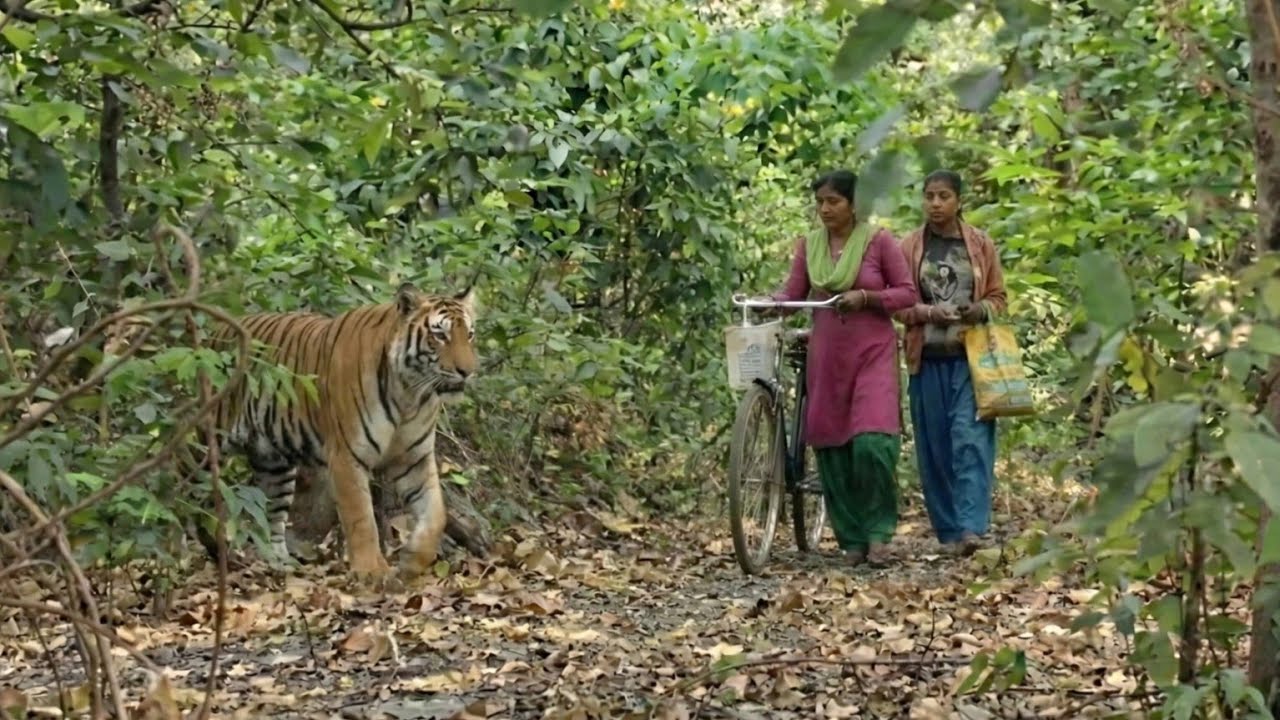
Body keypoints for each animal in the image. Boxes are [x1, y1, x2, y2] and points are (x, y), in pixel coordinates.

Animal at [203, 282, 478, 586]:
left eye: (470, 334)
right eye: (440, 335)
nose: (468, 371)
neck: (410, 395)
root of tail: (214, 331)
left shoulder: (413, 458)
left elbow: (435, 514)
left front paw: (411, 562)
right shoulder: (347, 456)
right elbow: (361, 518)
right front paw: (371, 571)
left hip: (275, 463)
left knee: (272, 517)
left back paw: (280, 564)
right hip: (206, 443)